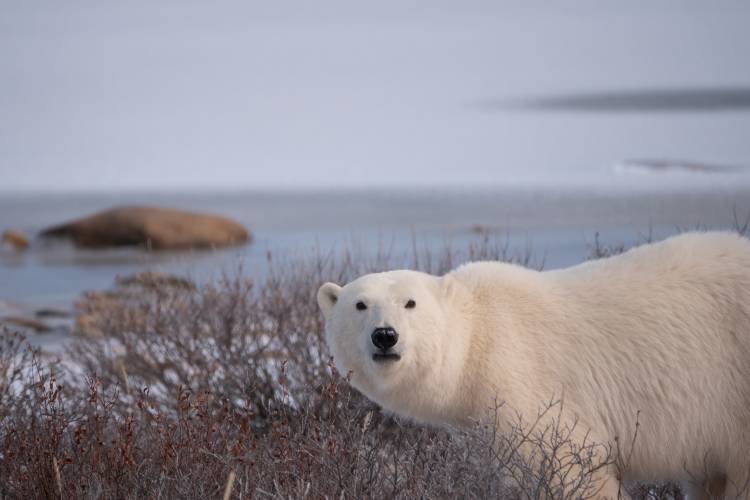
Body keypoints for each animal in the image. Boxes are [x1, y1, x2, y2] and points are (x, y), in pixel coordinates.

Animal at [316, 232, 750, 498]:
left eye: (410, 302)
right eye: (360, 304)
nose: (385, 335)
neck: (478, 341)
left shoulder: (527, 389)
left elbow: (573, 470)